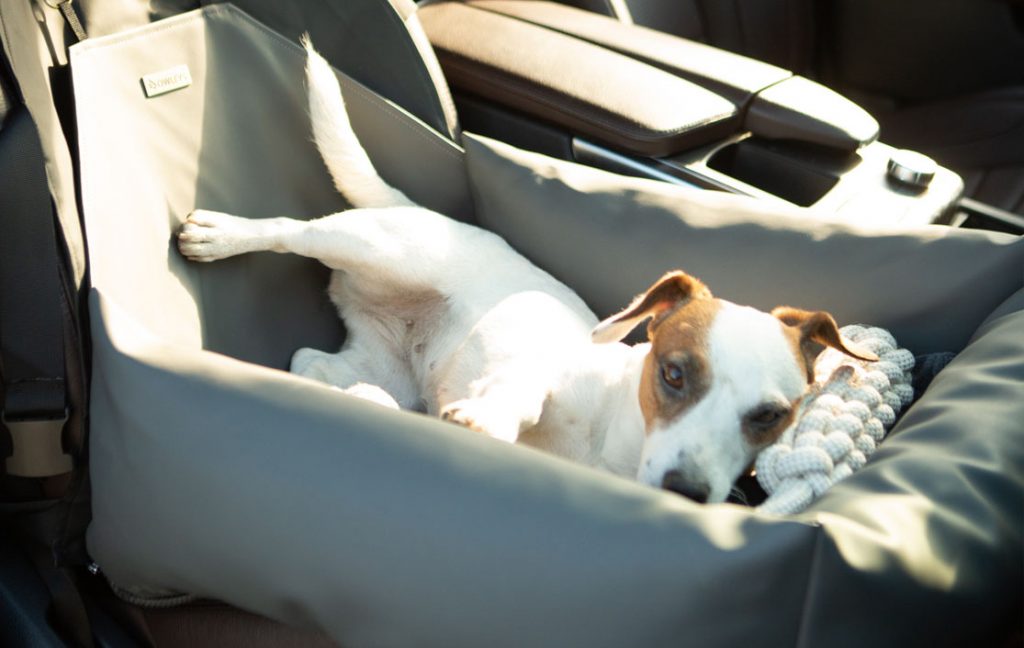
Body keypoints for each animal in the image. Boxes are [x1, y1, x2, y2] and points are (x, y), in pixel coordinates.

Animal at [178, 39, 872, 505]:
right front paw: (491, 420)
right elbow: (521, 393)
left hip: (377, 365)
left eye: (771, 416)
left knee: (312, 364)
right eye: (673, 375)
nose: (686, 490)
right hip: (377, 245)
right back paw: (223, 234)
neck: (611, 444)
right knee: (296, 229)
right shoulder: (537, 372)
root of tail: (411, 207)